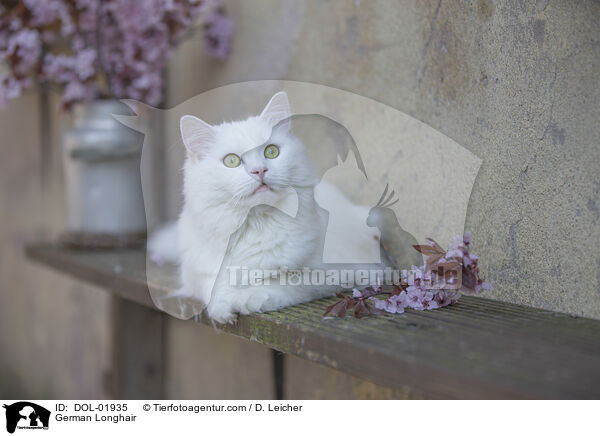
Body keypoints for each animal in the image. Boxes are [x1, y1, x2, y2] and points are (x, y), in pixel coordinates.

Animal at [150, 92, 382, 324]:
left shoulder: (346, 271)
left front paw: (246, 299)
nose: (259, 170)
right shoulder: (195, 274)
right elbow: (213, 286)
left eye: (271, 151)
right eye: (231, 161)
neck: (255, 224)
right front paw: (223, 309)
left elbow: (282, 282)